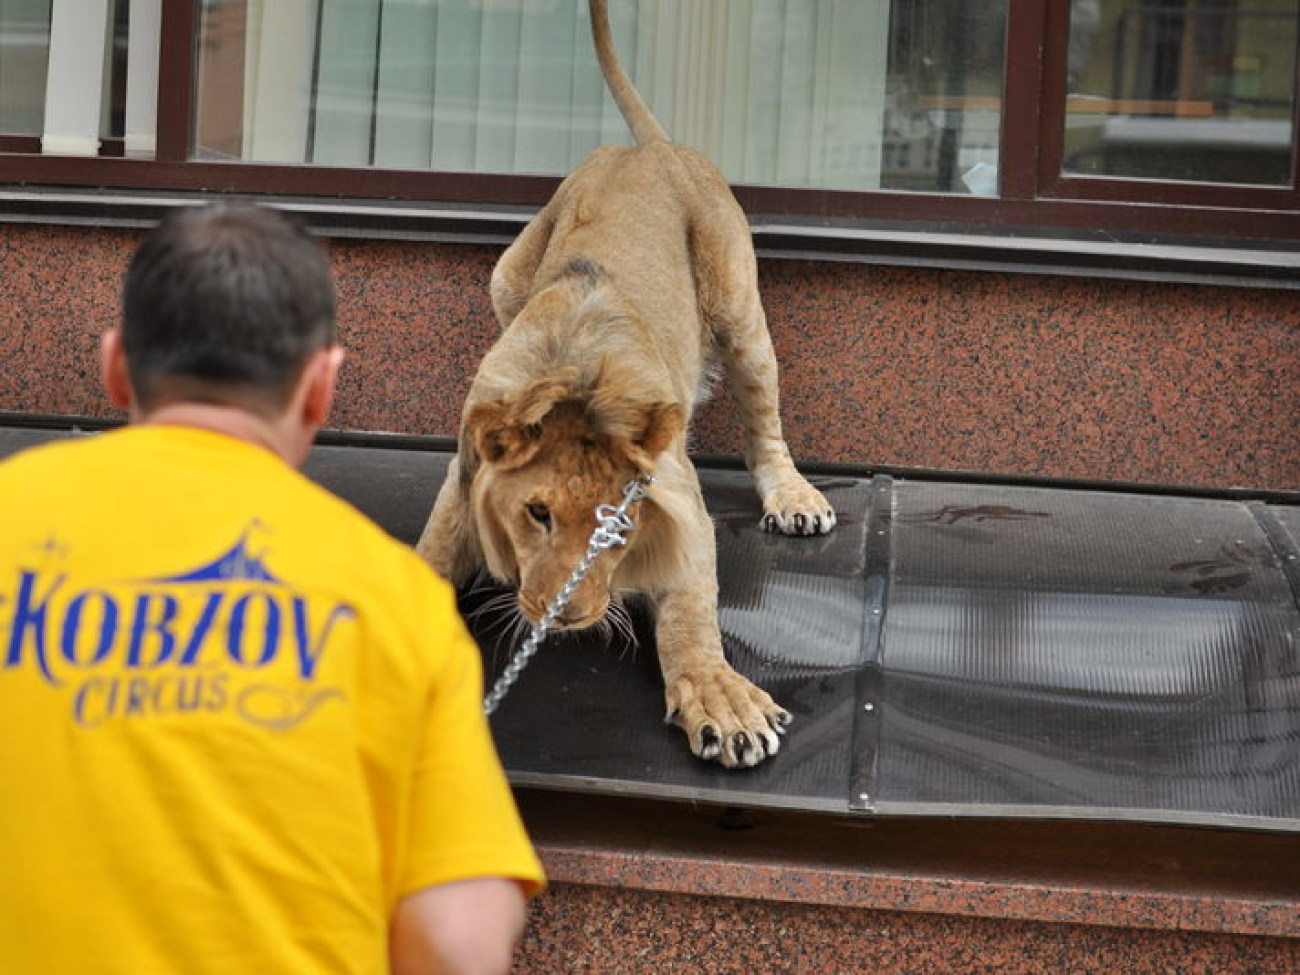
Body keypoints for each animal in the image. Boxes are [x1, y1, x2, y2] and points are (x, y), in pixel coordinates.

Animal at [421, 0, 837, 769]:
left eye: (619, 522)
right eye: (538, 513)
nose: (572, 617)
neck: (573, 381)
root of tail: (650, 147)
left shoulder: (681, 498)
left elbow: (690, 611)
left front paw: (721, 700)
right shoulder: (465, 472)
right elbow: (431, 553)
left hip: (740, 308)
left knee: (765, 427)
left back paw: (795, 499)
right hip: (506, 274)